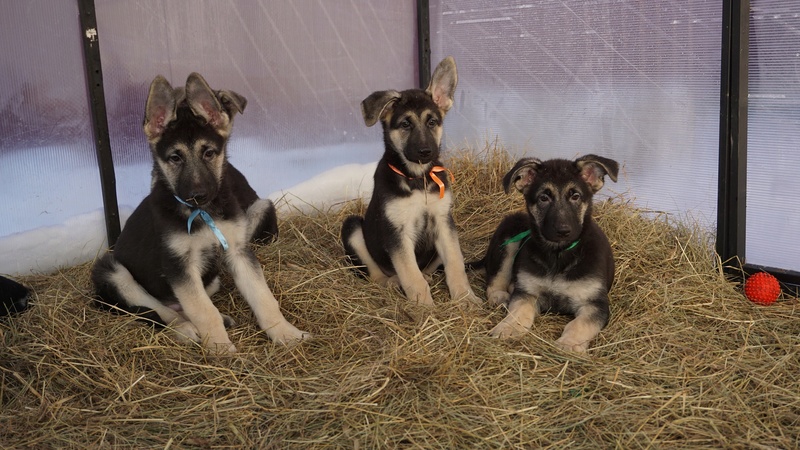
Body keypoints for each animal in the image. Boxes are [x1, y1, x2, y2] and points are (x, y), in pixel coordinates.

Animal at [91, 73, 306, 356]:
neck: (203, 214)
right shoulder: (179, 266)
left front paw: (285, 333)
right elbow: (204, 311)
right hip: (112, 271)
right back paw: (185, 330)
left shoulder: (238, 251)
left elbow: (263, 297)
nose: (198, 195)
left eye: (209, 152)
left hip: (212, 278)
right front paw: (220, 347)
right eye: (175, 158)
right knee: (159, 311)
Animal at [340, 55, 478, 302]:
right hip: (353, 226)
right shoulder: (397, 232)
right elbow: (412, 276)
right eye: (405, 124)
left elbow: (455, 264)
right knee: (377, 274)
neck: (417, 179)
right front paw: (424, 306)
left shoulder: (444, 222)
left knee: (428, 270)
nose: (426, 152)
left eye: (432, 122)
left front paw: (465, 298)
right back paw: (392, 283)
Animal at [482, 156, 620, 354]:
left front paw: (569, 343)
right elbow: (519, 312)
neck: (558, 255)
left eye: (575, 196)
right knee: (496, 277)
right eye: (544, 197)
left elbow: (580, 324)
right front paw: (508, 327)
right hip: (509, 234)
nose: (563, 231)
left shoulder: (595, 304)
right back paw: (499, 295)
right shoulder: (527, 293)